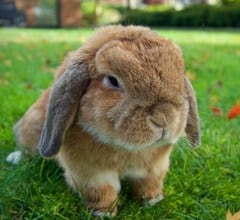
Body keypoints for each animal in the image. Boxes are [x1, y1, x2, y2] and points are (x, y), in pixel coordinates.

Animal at [6, 24, 200, 216]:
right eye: (113, 80)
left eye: (179, 77)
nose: (164, 118)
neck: (127, 149)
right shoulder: (91, 173)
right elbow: (102, 191)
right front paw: (104, 213)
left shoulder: (154, 168)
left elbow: (148, 184)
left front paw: (153, 200)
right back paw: (14, 158)